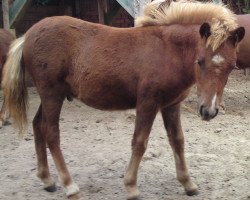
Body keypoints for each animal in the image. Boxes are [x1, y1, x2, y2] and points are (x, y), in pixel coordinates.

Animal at [1, 1, 244, 200]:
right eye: (200, 61)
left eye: (232, 66)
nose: (208, 111)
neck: (167, 51)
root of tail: (26, 35)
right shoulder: (148, 103)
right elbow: (139, 142)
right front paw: (131, 186)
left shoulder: (171, 105)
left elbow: (178, 141)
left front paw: (188, 184)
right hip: (52, 94)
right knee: (51, 133)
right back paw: (70, 186)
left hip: (50, 96)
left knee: (37, 125)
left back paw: (47, 180)